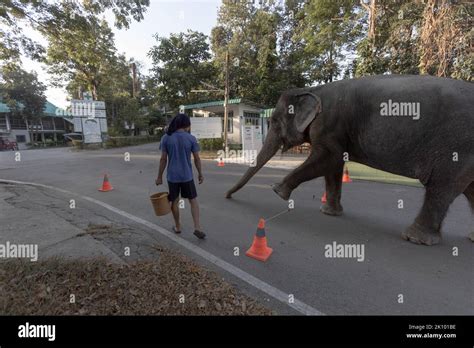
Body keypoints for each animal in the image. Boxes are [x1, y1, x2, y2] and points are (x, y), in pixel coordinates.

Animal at [226, 75, 474, 246]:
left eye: (275, 121)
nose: (227, 196)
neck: (312, 90)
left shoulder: (330, 124)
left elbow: (328, 158)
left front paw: (277, 190)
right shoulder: (337, 131)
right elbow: (334, 166)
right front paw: (329, 212)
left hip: (456, 148)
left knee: (442, 187)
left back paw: (414, 238)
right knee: (468, 190)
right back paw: (470, 238)